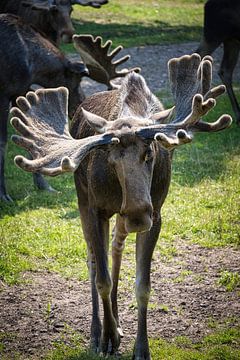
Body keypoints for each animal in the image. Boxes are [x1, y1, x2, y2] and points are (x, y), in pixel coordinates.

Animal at [0, 14, 138, 201]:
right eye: (78, 80)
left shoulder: (19, 91)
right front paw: (3, 194)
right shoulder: (4, 93)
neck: (33, 66)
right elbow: (4, 142)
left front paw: (44, 186)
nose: (81, 104)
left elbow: (28, 135)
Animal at [10, 52, 231, 358]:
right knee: (93, 258)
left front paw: (141, 346)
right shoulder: (96, 210)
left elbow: (142, 285)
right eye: (110, 157)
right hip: (84, 200)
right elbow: (102, 278)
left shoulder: (157, 213)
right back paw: (98, 332)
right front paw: (106, 338)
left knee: (116, 248)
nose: (138, 214)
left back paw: (116, 323)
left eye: (150, 152)